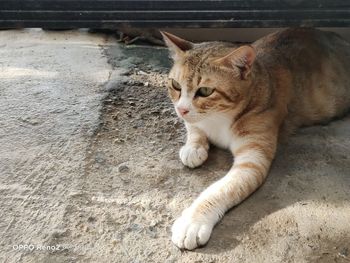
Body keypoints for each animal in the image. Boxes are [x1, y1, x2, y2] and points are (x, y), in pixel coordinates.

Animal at [161, 27, 350, 251]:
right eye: (175, 85)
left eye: (205, 91)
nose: (181, 109)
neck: (219, 118)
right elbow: (194, 127)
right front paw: (193, 147)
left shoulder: (252, 159)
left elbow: (218, 191)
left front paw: (193, 221)